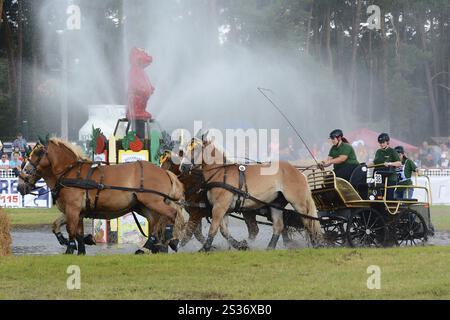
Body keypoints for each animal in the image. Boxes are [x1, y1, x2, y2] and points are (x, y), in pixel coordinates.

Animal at [16, 139, 184, 254]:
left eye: (36, 155)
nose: (20, 185)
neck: (68, 173)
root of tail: (164, 171)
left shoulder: (73, 209)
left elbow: (71, 229)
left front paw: (70, 248)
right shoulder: (77, 211)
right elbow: (62, 227)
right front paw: (80, 246)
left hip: (153, 202)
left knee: (171, 214)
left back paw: (172, 240)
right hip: (142, 206)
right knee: (155, 223)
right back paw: (147, 247)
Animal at [179, 136, 324, 251]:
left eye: (196, 149)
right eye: (183, 151)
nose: (183, 167)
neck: (221, 172)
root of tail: (298, 172)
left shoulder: (219, 207)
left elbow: (213, 228)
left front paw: (205, 248)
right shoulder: (224, 209)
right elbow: (224, 231)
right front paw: (240, 245)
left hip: (299, 202)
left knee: (309, 222)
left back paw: (317, 244)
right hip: (276, 204)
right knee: (279, 226)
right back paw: (270, 248)